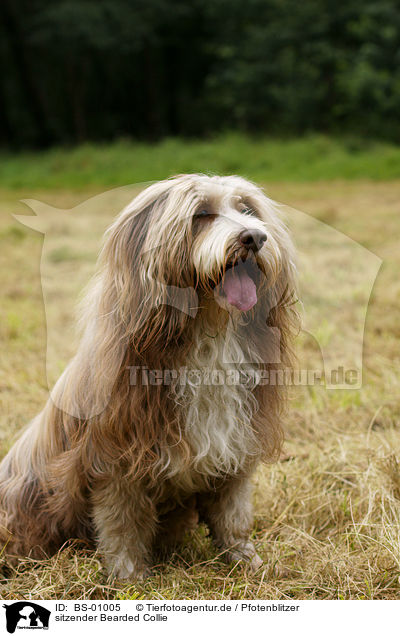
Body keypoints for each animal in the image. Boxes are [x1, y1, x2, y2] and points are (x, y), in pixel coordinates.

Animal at [0, 173, 298, 576]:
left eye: (248, 210)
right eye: (201, 214)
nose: (254, 237)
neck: (208, 331)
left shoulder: (235, 446)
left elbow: (233, 514)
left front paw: (246, 561)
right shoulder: (115, 457)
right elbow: (122, 522)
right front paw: (130, 576)